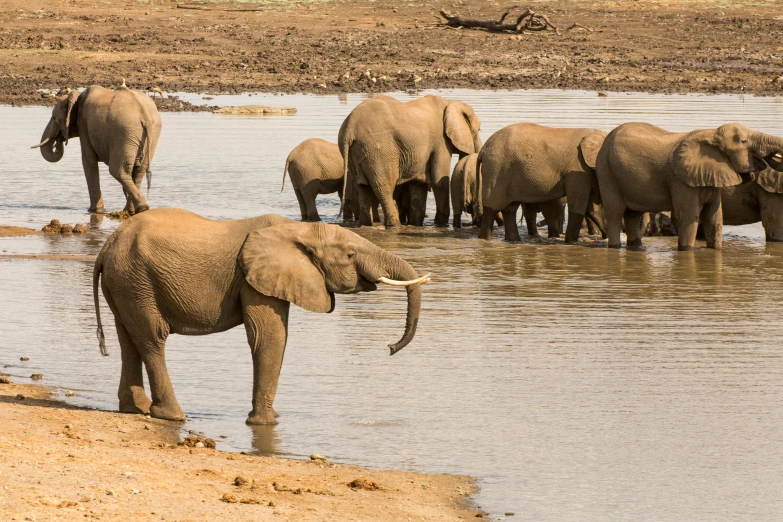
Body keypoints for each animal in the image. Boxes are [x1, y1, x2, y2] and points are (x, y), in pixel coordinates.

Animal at [33, 84, 162, 214]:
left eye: (54, 117)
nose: (59, 140)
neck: (76, 97)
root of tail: (145, 114)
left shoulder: (84, 124)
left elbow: (88, 160)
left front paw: (94, 210)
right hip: (150, 135)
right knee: (138, 171)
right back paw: (133, 210)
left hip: (124, 132)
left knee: (118, 171)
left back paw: (138, 208)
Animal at [96, 207, 434, 422]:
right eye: (350, 255)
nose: (390, 348)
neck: (297, 229)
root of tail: (106, 247)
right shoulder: (252, 278)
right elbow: (269, 336)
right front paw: (266, 423)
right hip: (136, 280)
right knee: (153, 338)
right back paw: (172, 416)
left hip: (126, 283)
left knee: (129, 339)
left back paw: (135, 409)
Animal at [342, 94, 484, 228]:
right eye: (478, 130)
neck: (450, 103)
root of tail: (349, 129)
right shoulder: (441, 141)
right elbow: (439, 181)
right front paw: (440, 224)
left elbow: (419, 184)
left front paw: (417, 224)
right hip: (377, 151)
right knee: (384, 188)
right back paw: (394, 226)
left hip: (358, 153)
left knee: (363, 187)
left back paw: (366, 224)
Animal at [474, 123, 608, 242]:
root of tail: (483, 150)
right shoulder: (578, 169)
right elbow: (578, 205)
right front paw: (570, 242)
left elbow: (592, 209)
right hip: (495, 170)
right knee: (492, 210)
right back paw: (485, 239)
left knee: (510, 210)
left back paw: (514, 240)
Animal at [596, 123, 780, 251]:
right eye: (743, 141)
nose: (771, 158)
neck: (711, 134)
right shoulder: (680, 179)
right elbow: (688, 216)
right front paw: (687, 252)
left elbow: (714, 217)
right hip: (606, 171)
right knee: (615, 213)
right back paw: (615, 247)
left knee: (633, 215)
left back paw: (635, 247)